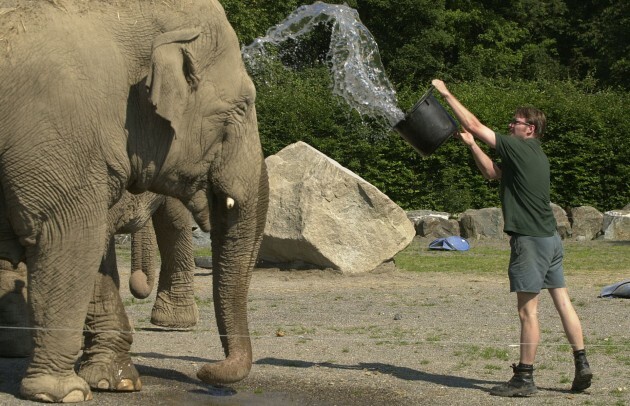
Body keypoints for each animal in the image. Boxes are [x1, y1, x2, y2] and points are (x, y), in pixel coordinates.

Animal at [0, 1, 270, 402]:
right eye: (241, 106)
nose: (205, 371)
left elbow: (94, 249)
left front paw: (117, 382)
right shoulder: (57, 125)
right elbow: (70, 236)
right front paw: (64, 393)